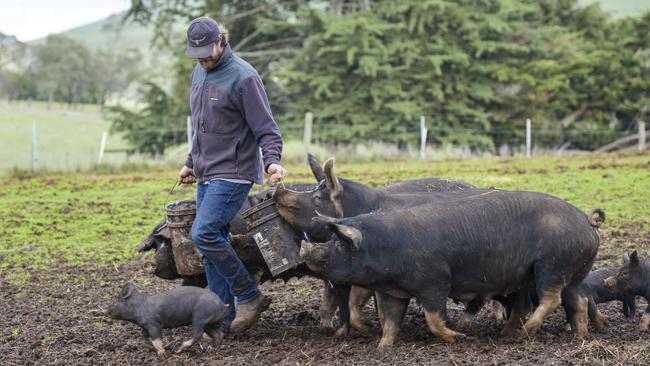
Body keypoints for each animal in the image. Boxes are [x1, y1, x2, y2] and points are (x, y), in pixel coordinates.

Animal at [298, 192, 604, 348]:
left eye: (340, 244)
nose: (306, 249)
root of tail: (586, 222)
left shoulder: (435, 282)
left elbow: (434, 319)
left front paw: (460, 337)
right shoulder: (395, 292)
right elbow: (391, 320)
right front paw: (382, 348)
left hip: (552, 266)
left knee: (551, 299)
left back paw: (525, 333)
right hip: (570, 272)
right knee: (575, 300)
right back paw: (575, 337)